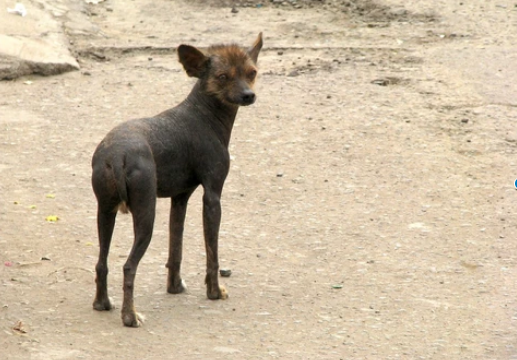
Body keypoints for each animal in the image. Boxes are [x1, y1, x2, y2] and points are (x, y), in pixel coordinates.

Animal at [89, 33, 264, 326]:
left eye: (252, 73)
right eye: (222, 76)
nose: (248, 95)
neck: (203, 114)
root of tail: (116, 155)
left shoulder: (180, 198)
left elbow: (176, 247)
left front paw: (175, 287)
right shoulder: (212, 197)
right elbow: (212, 253)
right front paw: (214, 292)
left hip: (105, 211)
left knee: (102, 263)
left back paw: (103, 304)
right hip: (145, 215)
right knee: (128, 267)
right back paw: (130, 316)